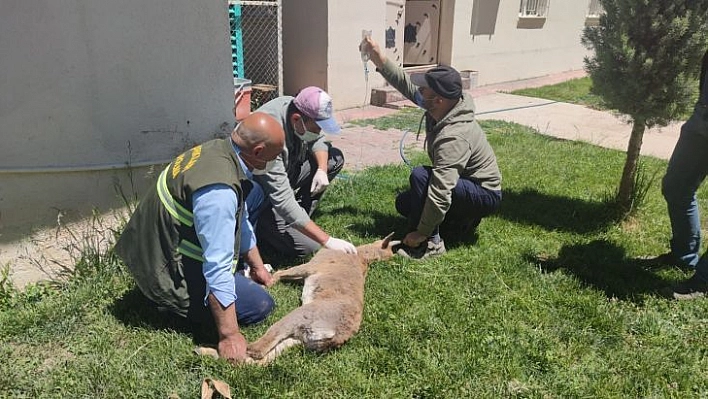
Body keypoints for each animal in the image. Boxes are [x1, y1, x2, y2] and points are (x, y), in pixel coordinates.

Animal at [245, 233, 398, 368]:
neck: (360, 256)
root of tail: (336, 334)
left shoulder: (309, 267)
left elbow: (280, 273)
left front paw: (264, 283)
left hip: (300, 317)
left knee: (265, 344)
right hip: (301, 339)